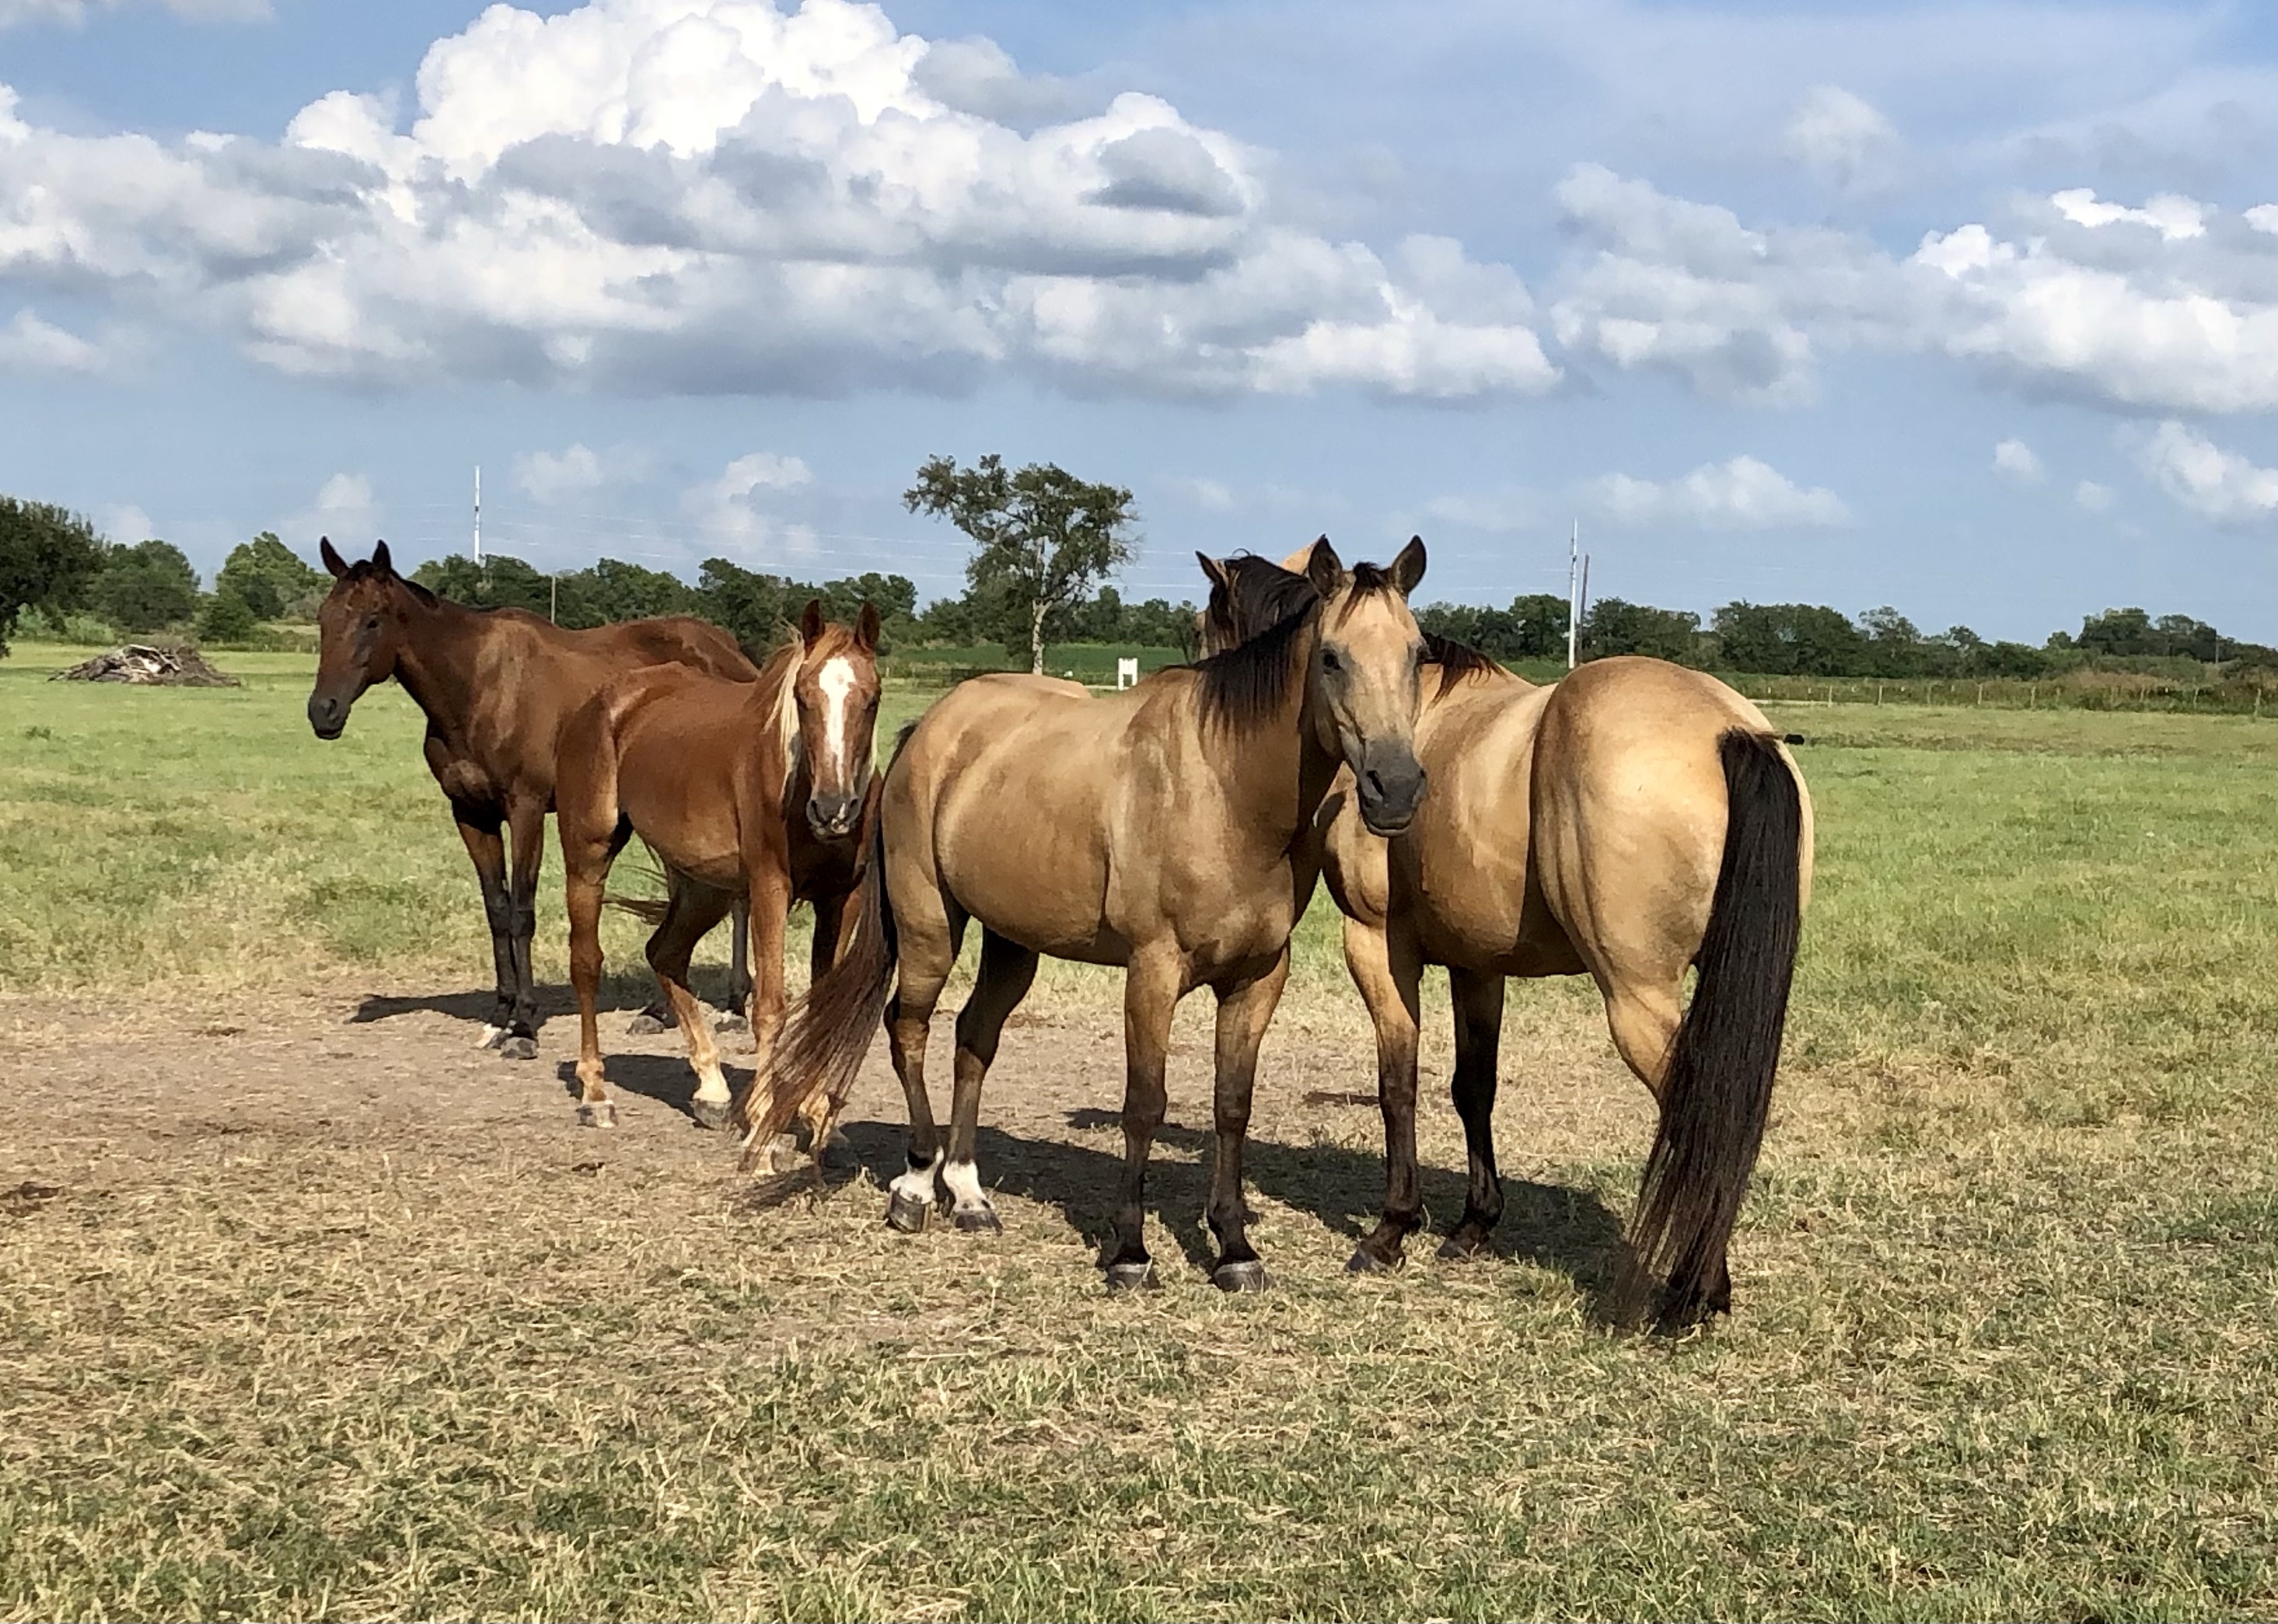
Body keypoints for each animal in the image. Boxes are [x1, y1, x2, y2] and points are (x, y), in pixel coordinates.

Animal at [306, 539, 760, 1059]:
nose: (323, 712)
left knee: (739, 898)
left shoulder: (525, 810)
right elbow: (497, 910)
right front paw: (499, 1015)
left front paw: (524, 1025)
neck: (480, 688)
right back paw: (659, 1011)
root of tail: (734, 655)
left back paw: (734, 1006)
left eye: (373, 620)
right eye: (324, 618)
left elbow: (522, 912)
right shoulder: (471, 814)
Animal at [555, 600, 884, 1144]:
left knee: (665, 953)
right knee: (586, 963)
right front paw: (765, 1128)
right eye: (803, 697)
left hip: (702, 886)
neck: (797, 781)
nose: (833, 809)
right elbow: (770, 1008)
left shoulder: (843, 898)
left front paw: (819, 1117)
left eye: (872, 699)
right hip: (589, 854)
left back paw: (712, 1091)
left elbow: (824, 1006)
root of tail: (610, 700)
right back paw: (595, 1095)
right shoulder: (772, 887)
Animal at [743, 539, 1430, 1293]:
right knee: (908, 1029)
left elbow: (1231, 1104)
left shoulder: (1257, 977)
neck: (1227, 786)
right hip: (930, 930)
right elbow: (1145, 1103)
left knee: (974, 1038)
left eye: (1417, 653)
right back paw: (917, 1186)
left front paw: (1234, 1247)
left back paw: (970, 1194)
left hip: (1012, 942)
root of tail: (931, 726)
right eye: (1332, 657)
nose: (1397, 789)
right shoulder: (1152, 970)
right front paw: (1130, 1250)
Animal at [1200, 550, 1813, 1327]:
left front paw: (1391, 1230)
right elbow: (1473, 1088)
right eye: (1331, 658)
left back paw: (1696, 1287)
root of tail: (1729, 729)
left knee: (1699, 1114)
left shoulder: (1376, 944)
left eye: (1208, 624)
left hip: (1636, 999)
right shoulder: (1477, 965)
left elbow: (1398, 1082)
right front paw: (1472, 1225)